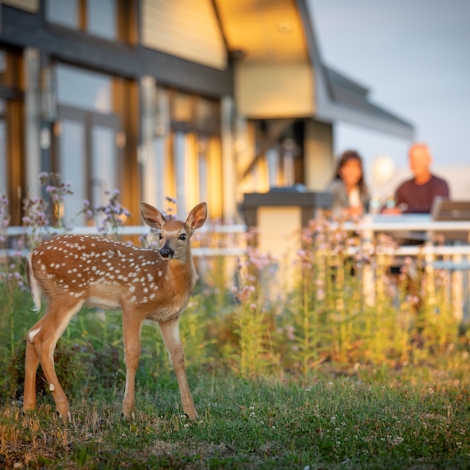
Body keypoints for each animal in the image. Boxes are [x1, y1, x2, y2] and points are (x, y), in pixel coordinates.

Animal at [22, 202, 206, 422]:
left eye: (183, 235)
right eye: (160, 234)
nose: (165, 251)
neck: (167, 282)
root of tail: (31, 255)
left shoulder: (169, 317)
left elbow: (178, 357)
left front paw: (191, 413)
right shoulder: (132, 304)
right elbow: (133, 354)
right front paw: (127, 411)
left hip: (54, 298)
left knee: (31, 334)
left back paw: (28, 408)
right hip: (67, 294)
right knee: (44, 340)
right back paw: (64, 410)